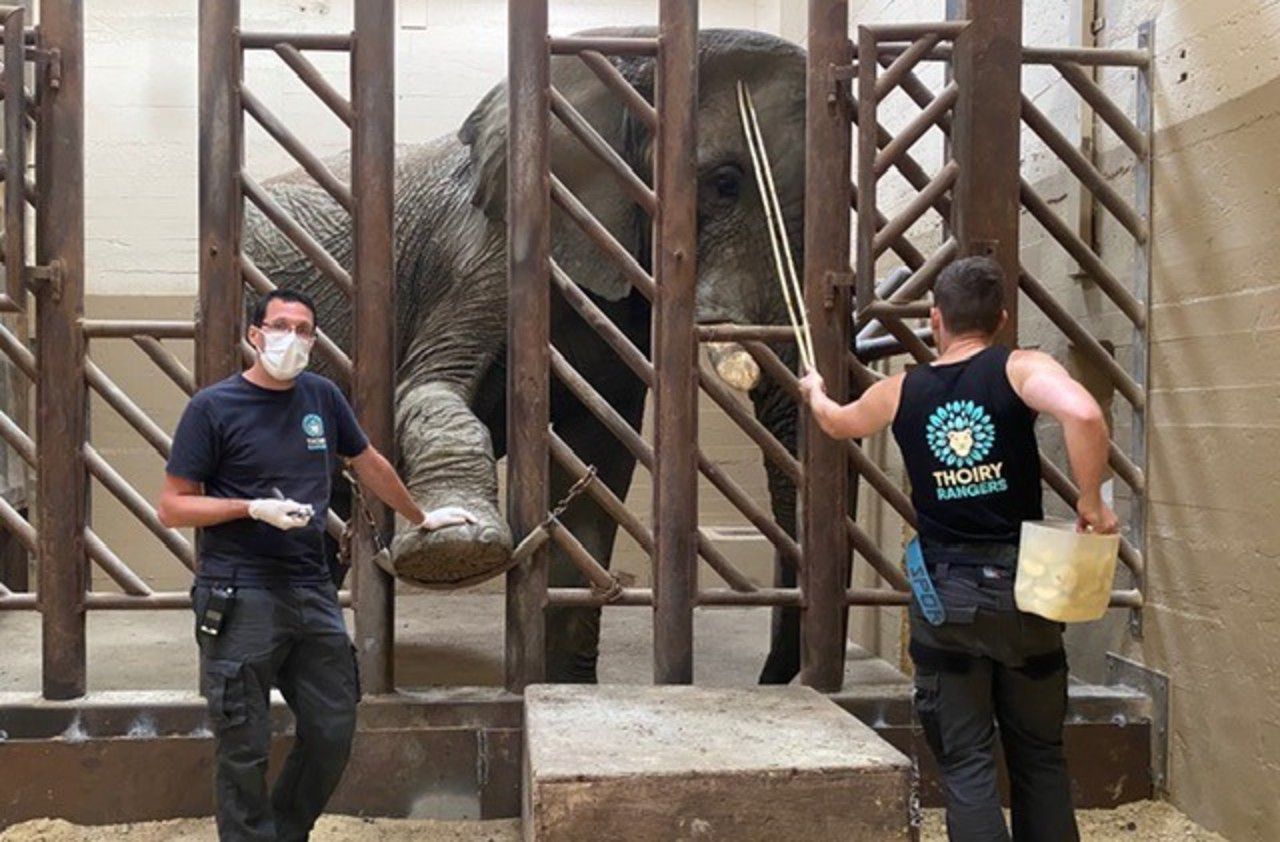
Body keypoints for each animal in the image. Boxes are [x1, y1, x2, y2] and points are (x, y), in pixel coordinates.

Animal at [243, 26, 814, 680]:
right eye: (725, 183)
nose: (771, 679)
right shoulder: (482, 246)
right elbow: (427, 386)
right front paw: (454, 548)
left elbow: (595, 467)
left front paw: (564, 686)